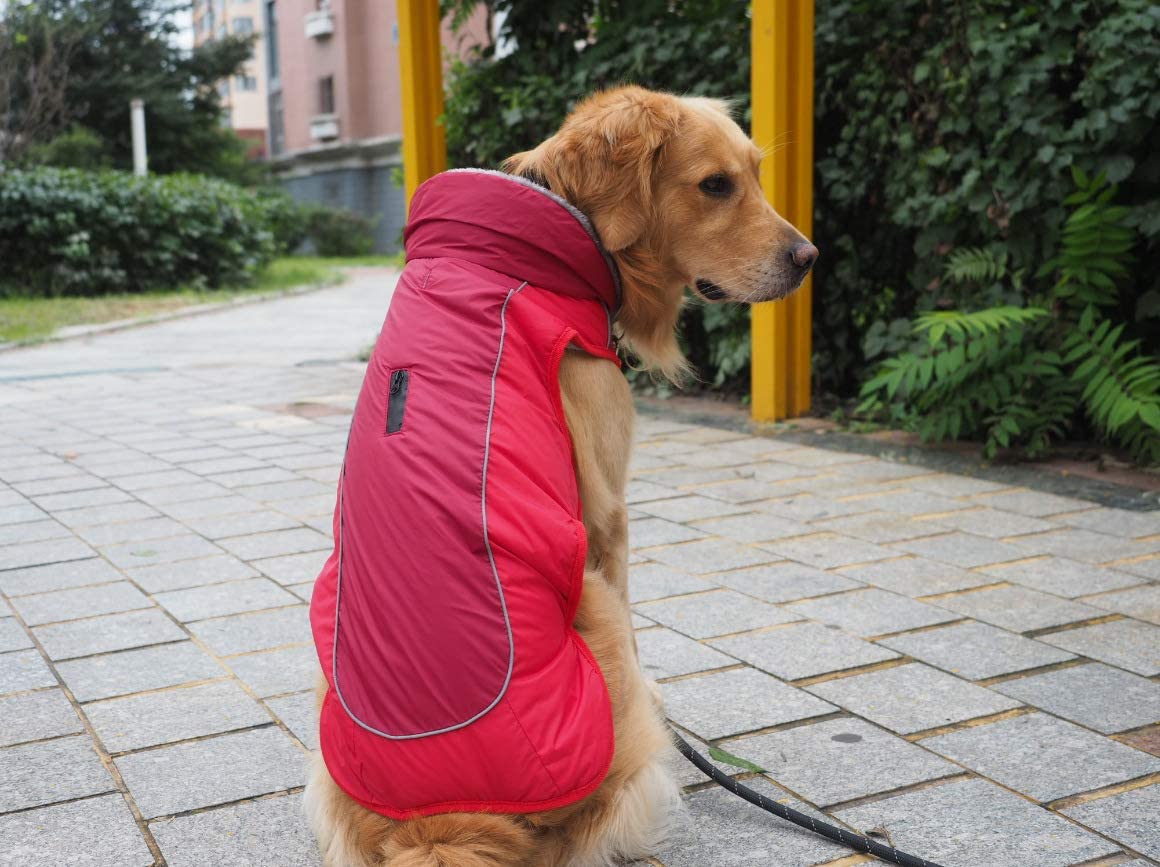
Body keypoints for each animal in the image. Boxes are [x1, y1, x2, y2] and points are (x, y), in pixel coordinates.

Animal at [303, 86, 821, 867]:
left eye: (757, 173)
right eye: (715, 185)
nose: (809, 258)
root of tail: (444, 829)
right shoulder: (606, 518)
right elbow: (637, 630)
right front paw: (656, 692)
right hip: (593, 607)